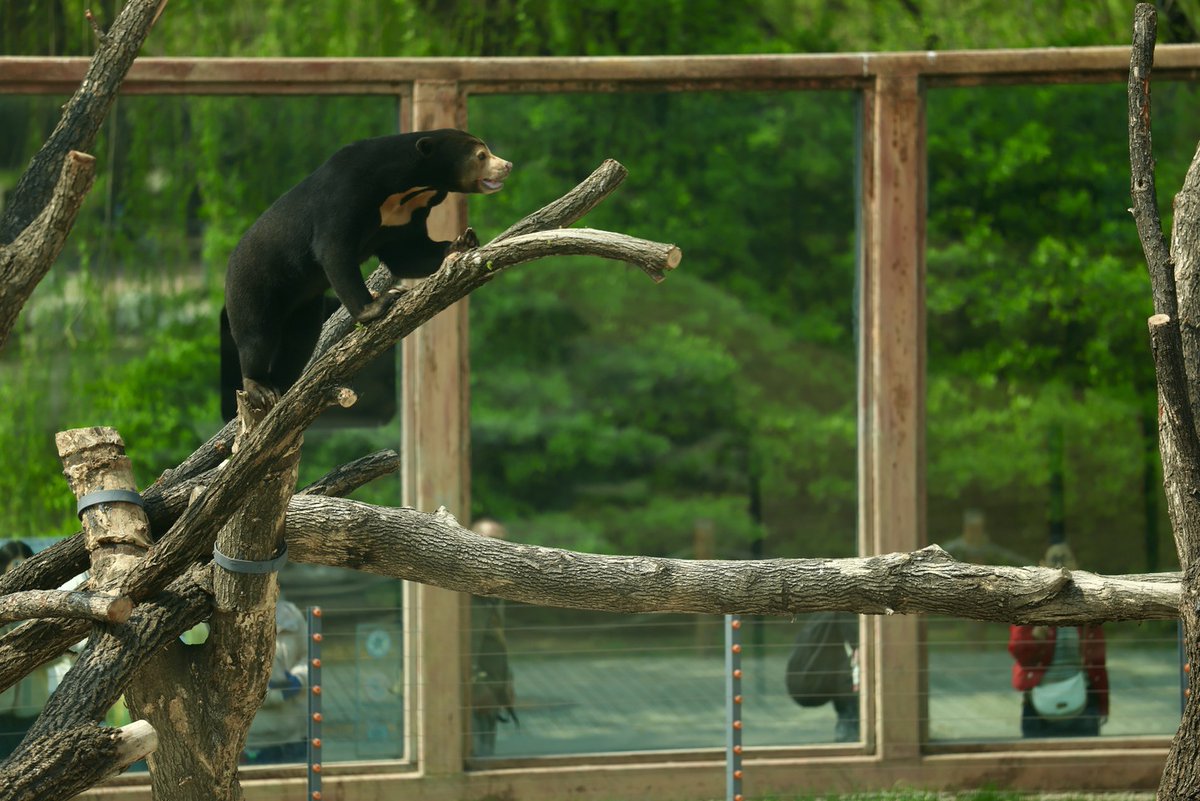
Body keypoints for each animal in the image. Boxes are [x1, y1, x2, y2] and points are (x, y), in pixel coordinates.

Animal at [222, 128, 512, 409]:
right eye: (481, 156)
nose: (507, 165)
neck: (410, 188)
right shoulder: (347, 192)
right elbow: (334, 249)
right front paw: (378, 304)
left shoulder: (402, 218)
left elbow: (408, 253)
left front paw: (463, 242)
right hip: (252, 283)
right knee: (256, 334)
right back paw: (260, 386)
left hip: (305, 303)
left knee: (299, 339)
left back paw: (284, 385)